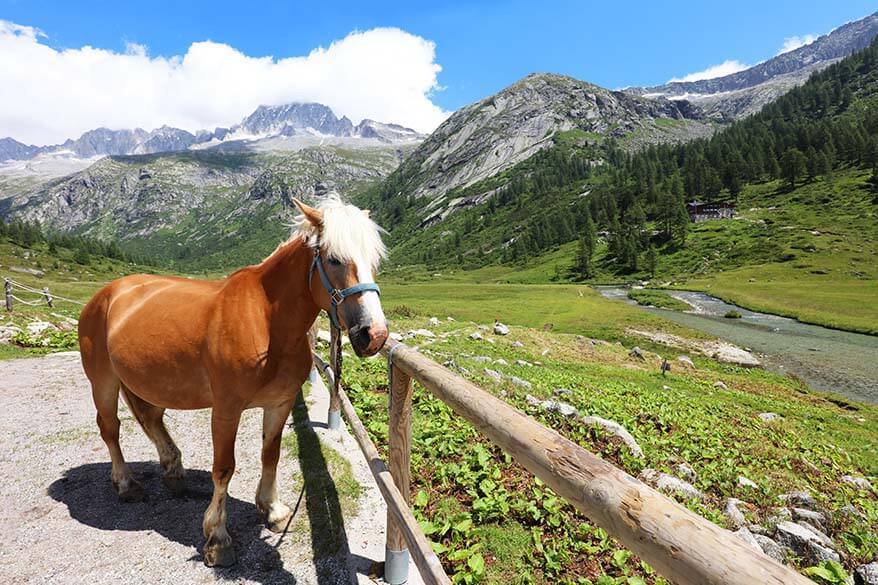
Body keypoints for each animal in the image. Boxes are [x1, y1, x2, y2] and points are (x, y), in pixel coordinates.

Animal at [78, 196, 388, 564]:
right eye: (335, 259)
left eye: (375, 259)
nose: (374, 335)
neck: (266, 322)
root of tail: (108, 293)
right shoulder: (226, 410)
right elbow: (224, 468)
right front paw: (218, 538)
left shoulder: (280, 402)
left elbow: (271, 454)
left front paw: (272, 509)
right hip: (104, 381)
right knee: (110, 428)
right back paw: (127, 485)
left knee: (152, 419)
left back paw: (173, 471)